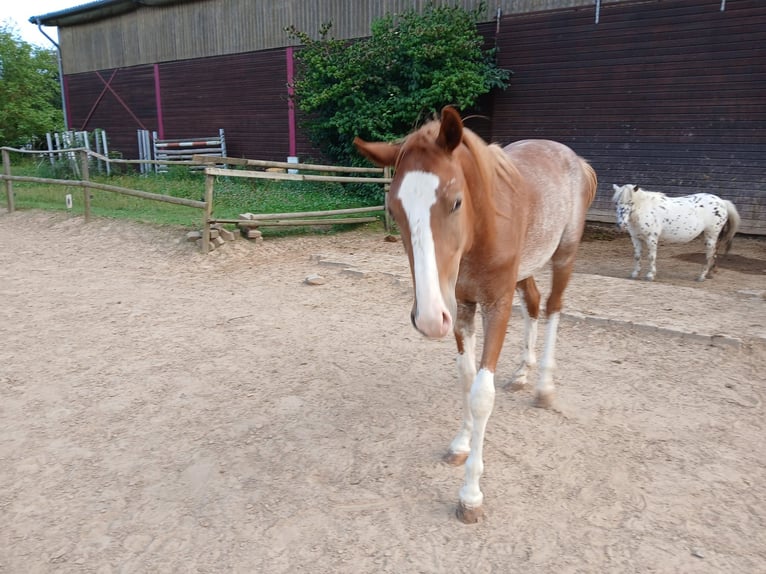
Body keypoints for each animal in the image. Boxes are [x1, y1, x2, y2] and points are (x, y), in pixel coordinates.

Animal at [354, 106, 600, 524]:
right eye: (394, 209)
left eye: (455, 202)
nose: (427, 319)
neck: (481, 230)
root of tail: (573, 159)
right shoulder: (460, 306)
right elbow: (466, 379)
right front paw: (461, 444)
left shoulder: (495, 304)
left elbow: (482, 394)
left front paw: (470, 494)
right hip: (524, 270)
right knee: (534, 303)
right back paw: (522, 374)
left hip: (564, 256)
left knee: (553, 307)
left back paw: (544, 387)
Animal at [612, 186, 744, 282]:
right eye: (616, 203)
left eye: (631, 203)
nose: (621, 224)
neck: (645, 209)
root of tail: (722, 202)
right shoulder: (635, 238)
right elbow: (637, 256)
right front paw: (634, 274)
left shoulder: (651, 238)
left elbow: (651, 257)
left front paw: (650, 275)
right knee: (714, 254)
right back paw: (709, 274)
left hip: (711, 235)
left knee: (710, 255)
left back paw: (701, 276)